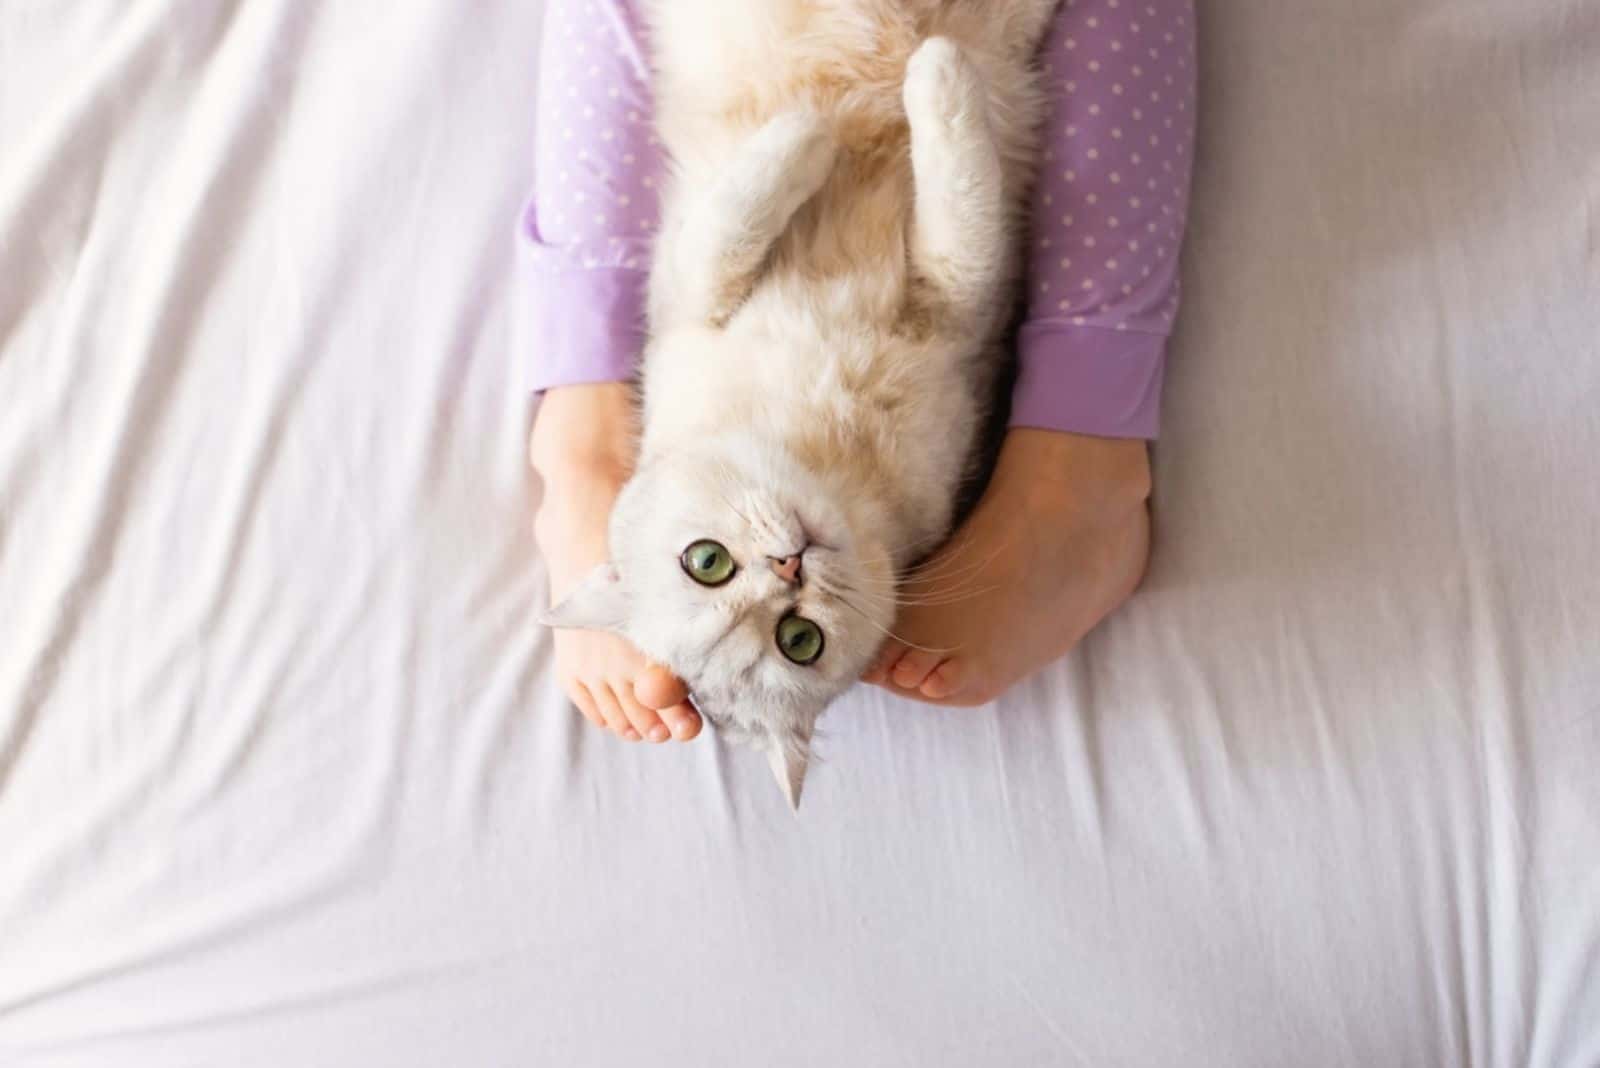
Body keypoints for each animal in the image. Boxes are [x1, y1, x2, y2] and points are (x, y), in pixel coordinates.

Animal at [544, 0, 1056, 799]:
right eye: (799, 640)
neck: (826, 434)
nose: (789, 566)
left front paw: (828, 121)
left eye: (706, 560)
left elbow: (732, 222)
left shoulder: (684, 295)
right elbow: (963, 195)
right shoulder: (960, 298)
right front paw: (915, 83)